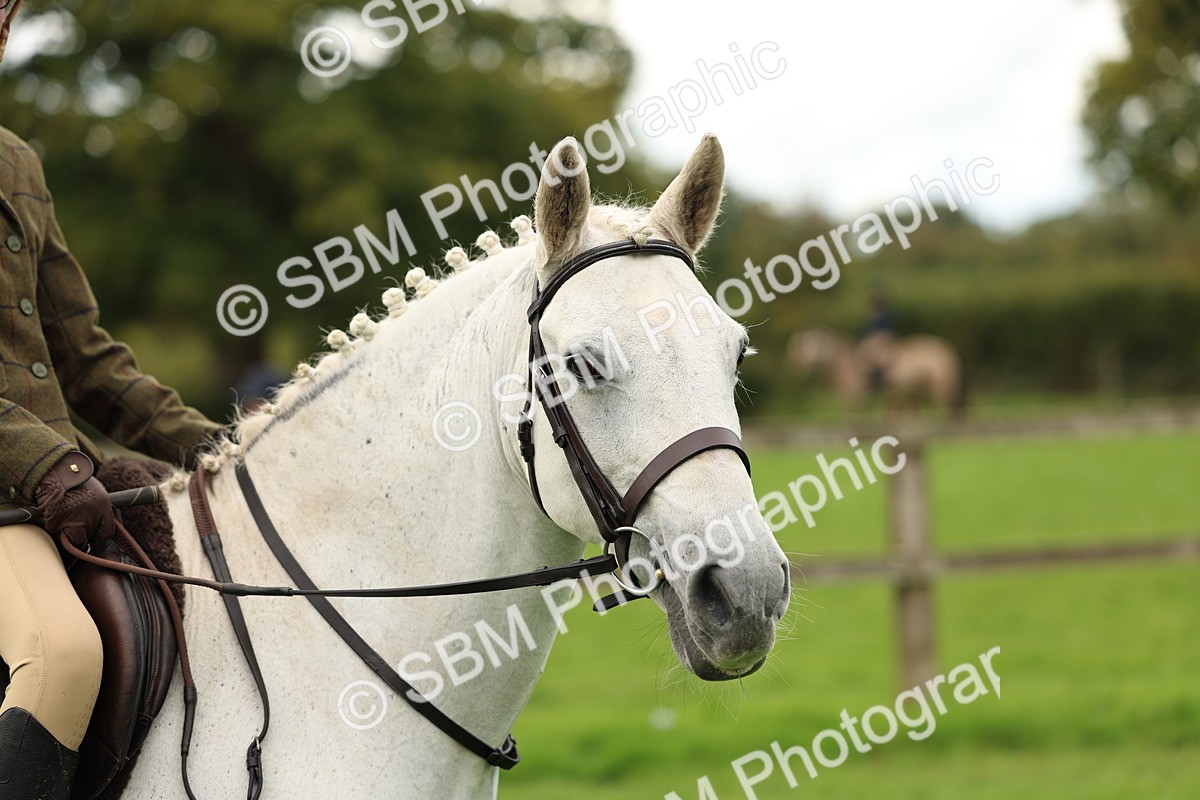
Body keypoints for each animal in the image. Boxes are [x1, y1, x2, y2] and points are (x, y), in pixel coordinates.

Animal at [788, 328, 965, 415]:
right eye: (804, 346)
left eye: (815, 345)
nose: (797, 366)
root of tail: (947, 348)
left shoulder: (856, 396)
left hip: (941, 384)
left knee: (946, 405)